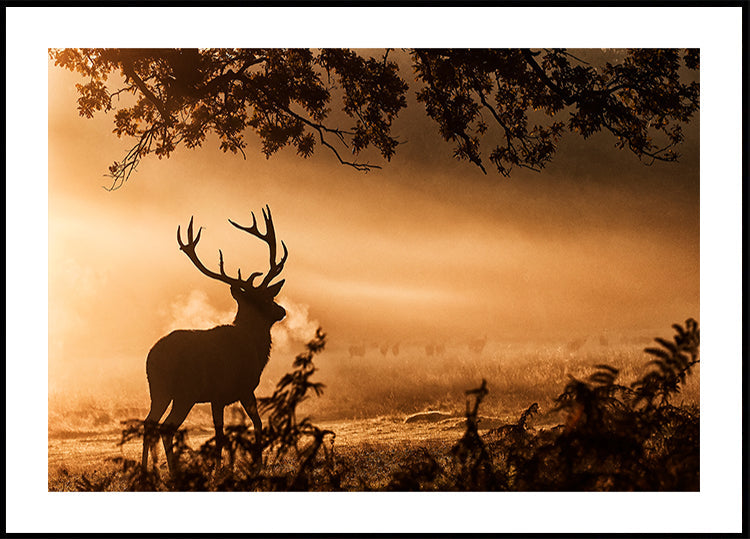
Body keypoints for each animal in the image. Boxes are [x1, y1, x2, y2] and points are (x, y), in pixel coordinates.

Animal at [141, 205, 288, 476]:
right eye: (266, 298)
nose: (281, 310)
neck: (255, 347)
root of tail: (151, 358)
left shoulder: (217, 397)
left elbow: (221, 432)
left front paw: (219, 468)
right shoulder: (240, 387)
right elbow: (254, 424)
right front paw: (253, 465)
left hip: (158, 390)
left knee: (149, 423)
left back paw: (148, 470)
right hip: (184, 392)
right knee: (166, 427)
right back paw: (174, 472)